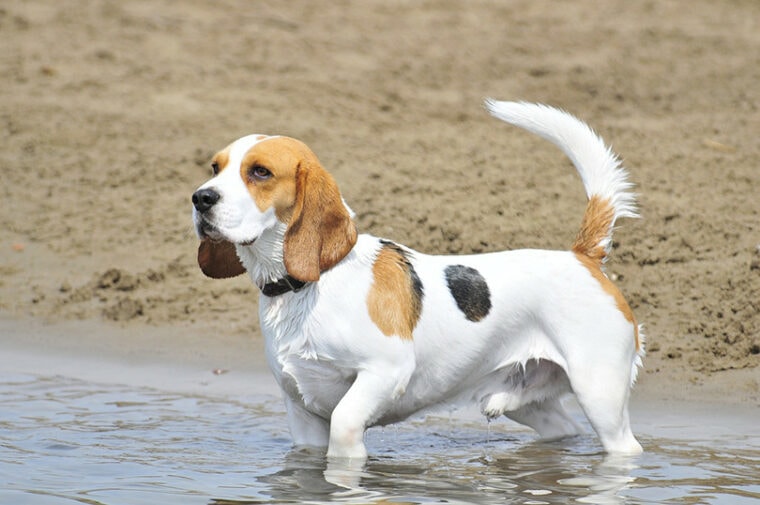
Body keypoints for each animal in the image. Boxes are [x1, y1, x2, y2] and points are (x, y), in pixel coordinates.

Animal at [193, 100, 644, 458]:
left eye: (260, 172)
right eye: (215, 167)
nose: (200, 198)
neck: (310, 286)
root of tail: (583, 256)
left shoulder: (384, 374)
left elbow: (344, 423)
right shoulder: (302, 415)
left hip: (600, 394)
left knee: (624, 445)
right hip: (527, 401)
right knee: (563, 429)